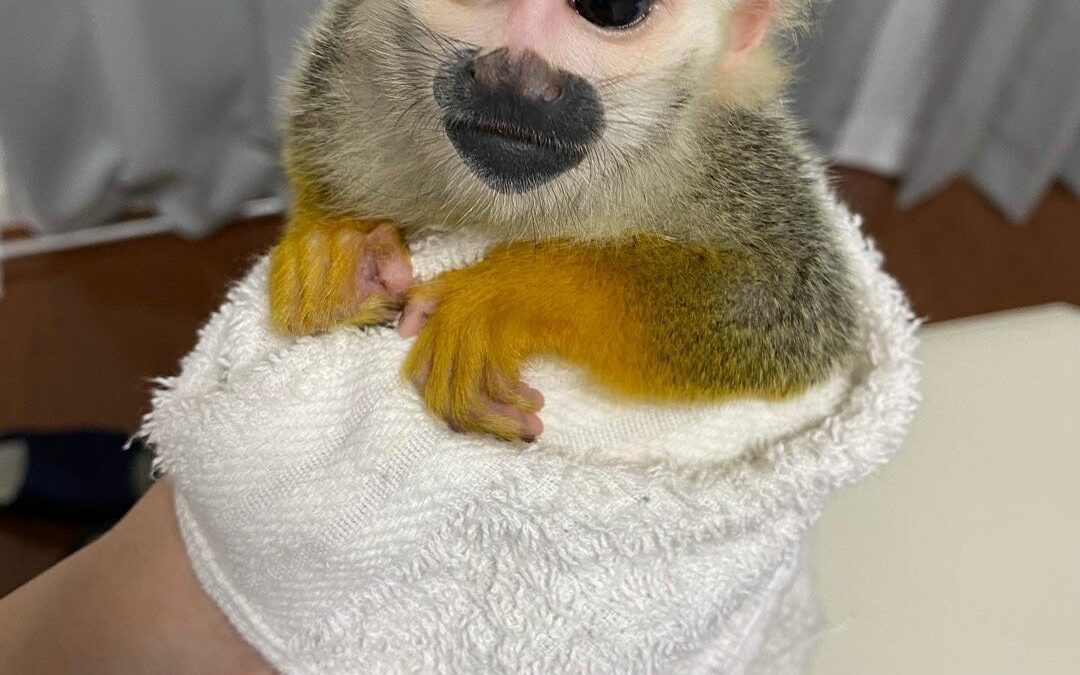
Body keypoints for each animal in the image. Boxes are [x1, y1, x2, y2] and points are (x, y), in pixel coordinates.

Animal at [268, 0, 859, 442]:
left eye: (612, 7)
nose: (512, 75)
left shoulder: (727, 151)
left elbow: (787, 309)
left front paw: (514, 295)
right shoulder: (351, 73)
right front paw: (334, 242)